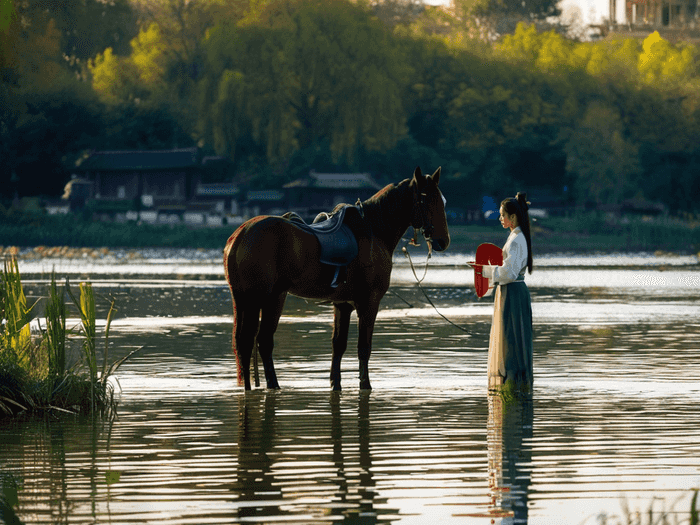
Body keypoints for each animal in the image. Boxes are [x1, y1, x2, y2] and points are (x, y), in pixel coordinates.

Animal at [227, 167, 452, 388]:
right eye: (426, 200)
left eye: (442, 201)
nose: (443, 241)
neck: (374, 231)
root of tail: (241, 233)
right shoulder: (369, 302)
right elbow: (364, 347)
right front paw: (365, 384)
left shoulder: (342, 304)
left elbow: (338, 345)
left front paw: (335, 383)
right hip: (263, 298)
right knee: (256, 341)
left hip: (251, 298)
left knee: (249, 343)